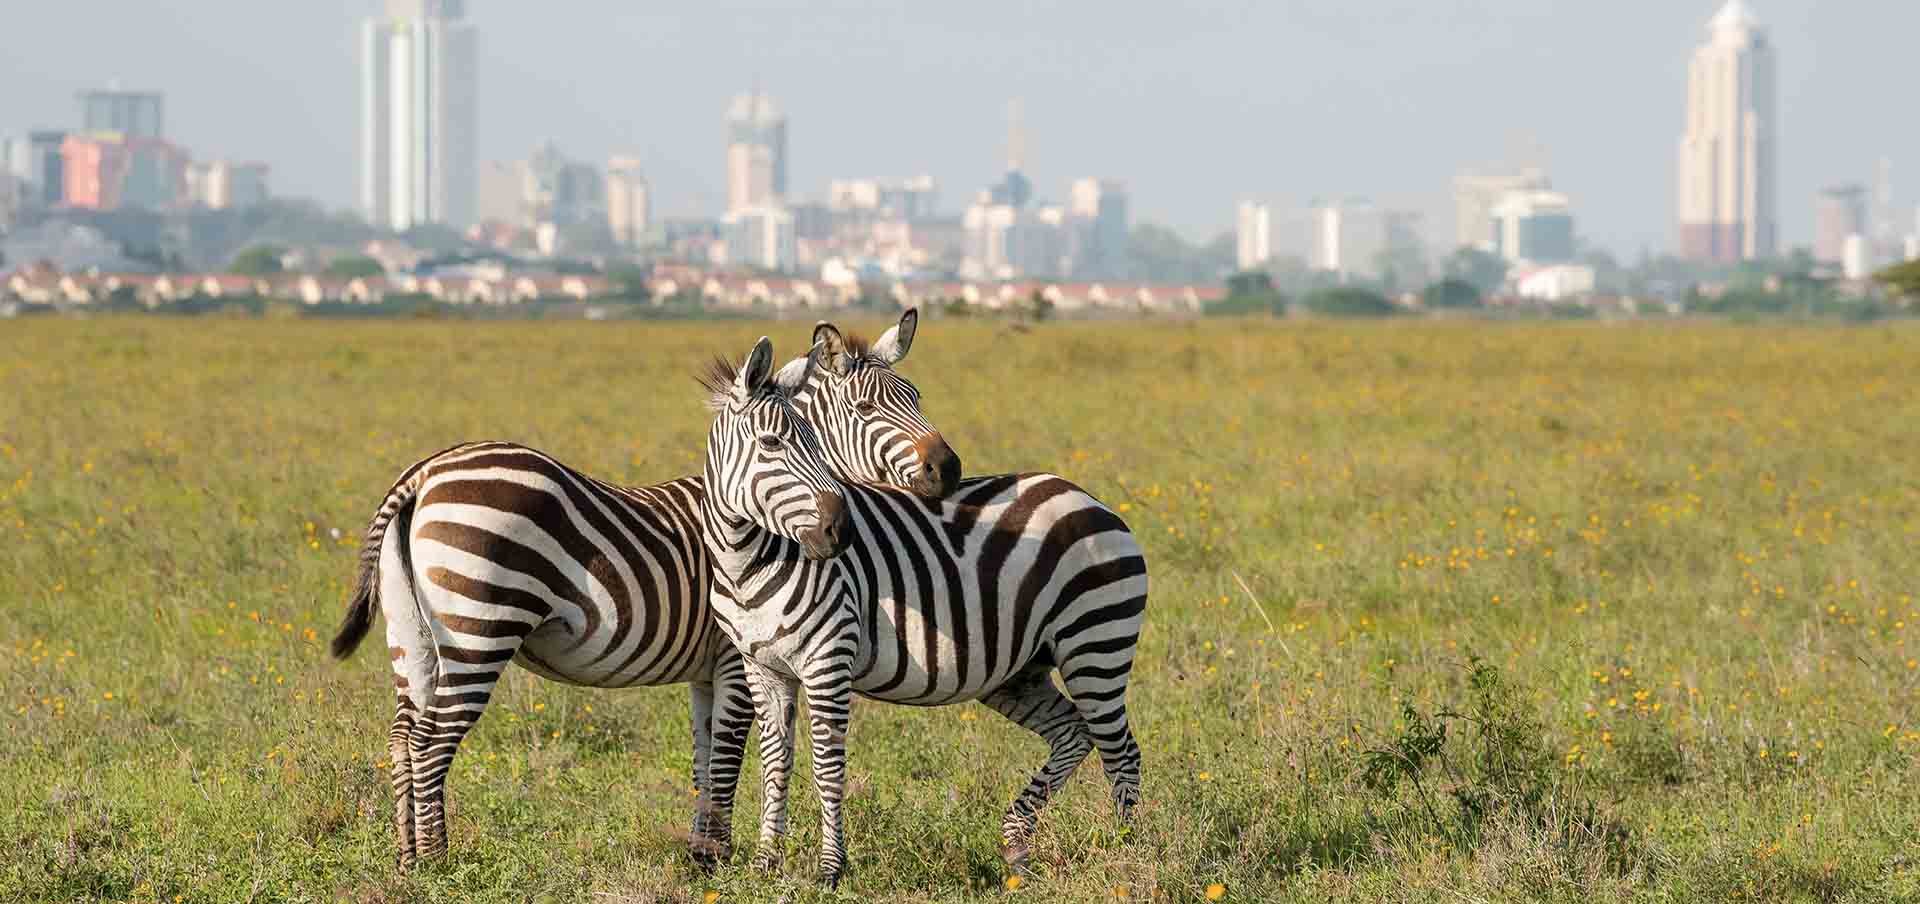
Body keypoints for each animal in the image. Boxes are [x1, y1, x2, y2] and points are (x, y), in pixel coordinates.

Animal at [330, 309, 960, 871]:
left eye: (917, 396)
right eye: (866, 408)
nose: (949, 470)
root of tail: (423, 473)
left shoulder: (708, 670)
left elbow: (705, 757)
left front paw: (702, 855)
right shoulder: (735, 659)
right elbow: (729, 756)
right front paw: (717, 857)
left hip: (412, 635)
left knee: (402, 736)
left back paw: (407, 857)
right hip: (479, 630)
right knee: (432, 742)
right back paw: (439, 862)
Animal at [698, 335, 1144, 886]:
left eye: (815, 444)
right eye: (772, 444)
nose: (841, 532)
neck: (748, 563)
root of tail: (1089, 498)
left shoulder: (827, 662)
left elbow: (827, 767)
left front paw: (830, 870)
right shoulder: (762, 668)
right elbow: (775, 763)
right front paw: (765, 865)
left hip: (1096, 644)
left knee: (1120, 751)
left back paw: (1126, 852)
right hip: (1018, 672)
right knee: (1074, 733)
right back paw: (1017, 845)